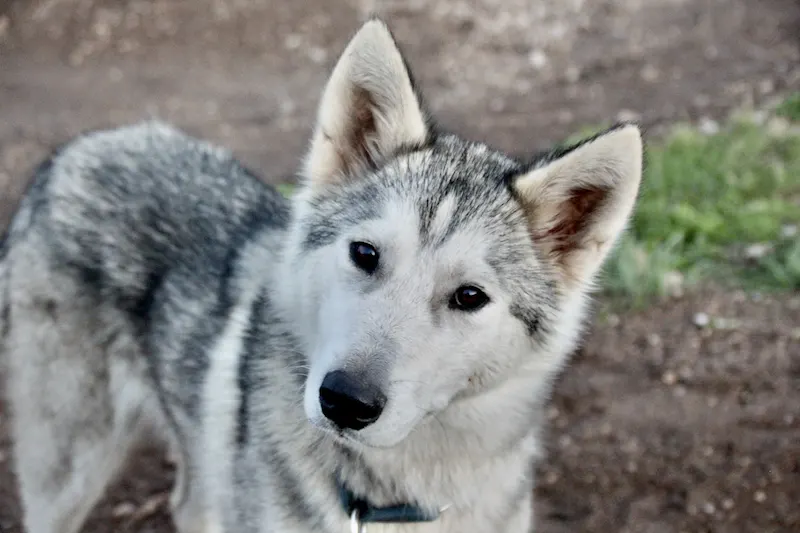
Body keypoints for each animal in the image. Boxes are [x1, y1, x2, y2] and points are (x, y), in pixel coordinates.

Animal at [0, 16, 640, 532]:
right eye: (365, 254)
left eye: (469, 296)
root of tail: (70, 153)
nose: (344, 402)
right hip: (69, 471)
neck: (393, 506)